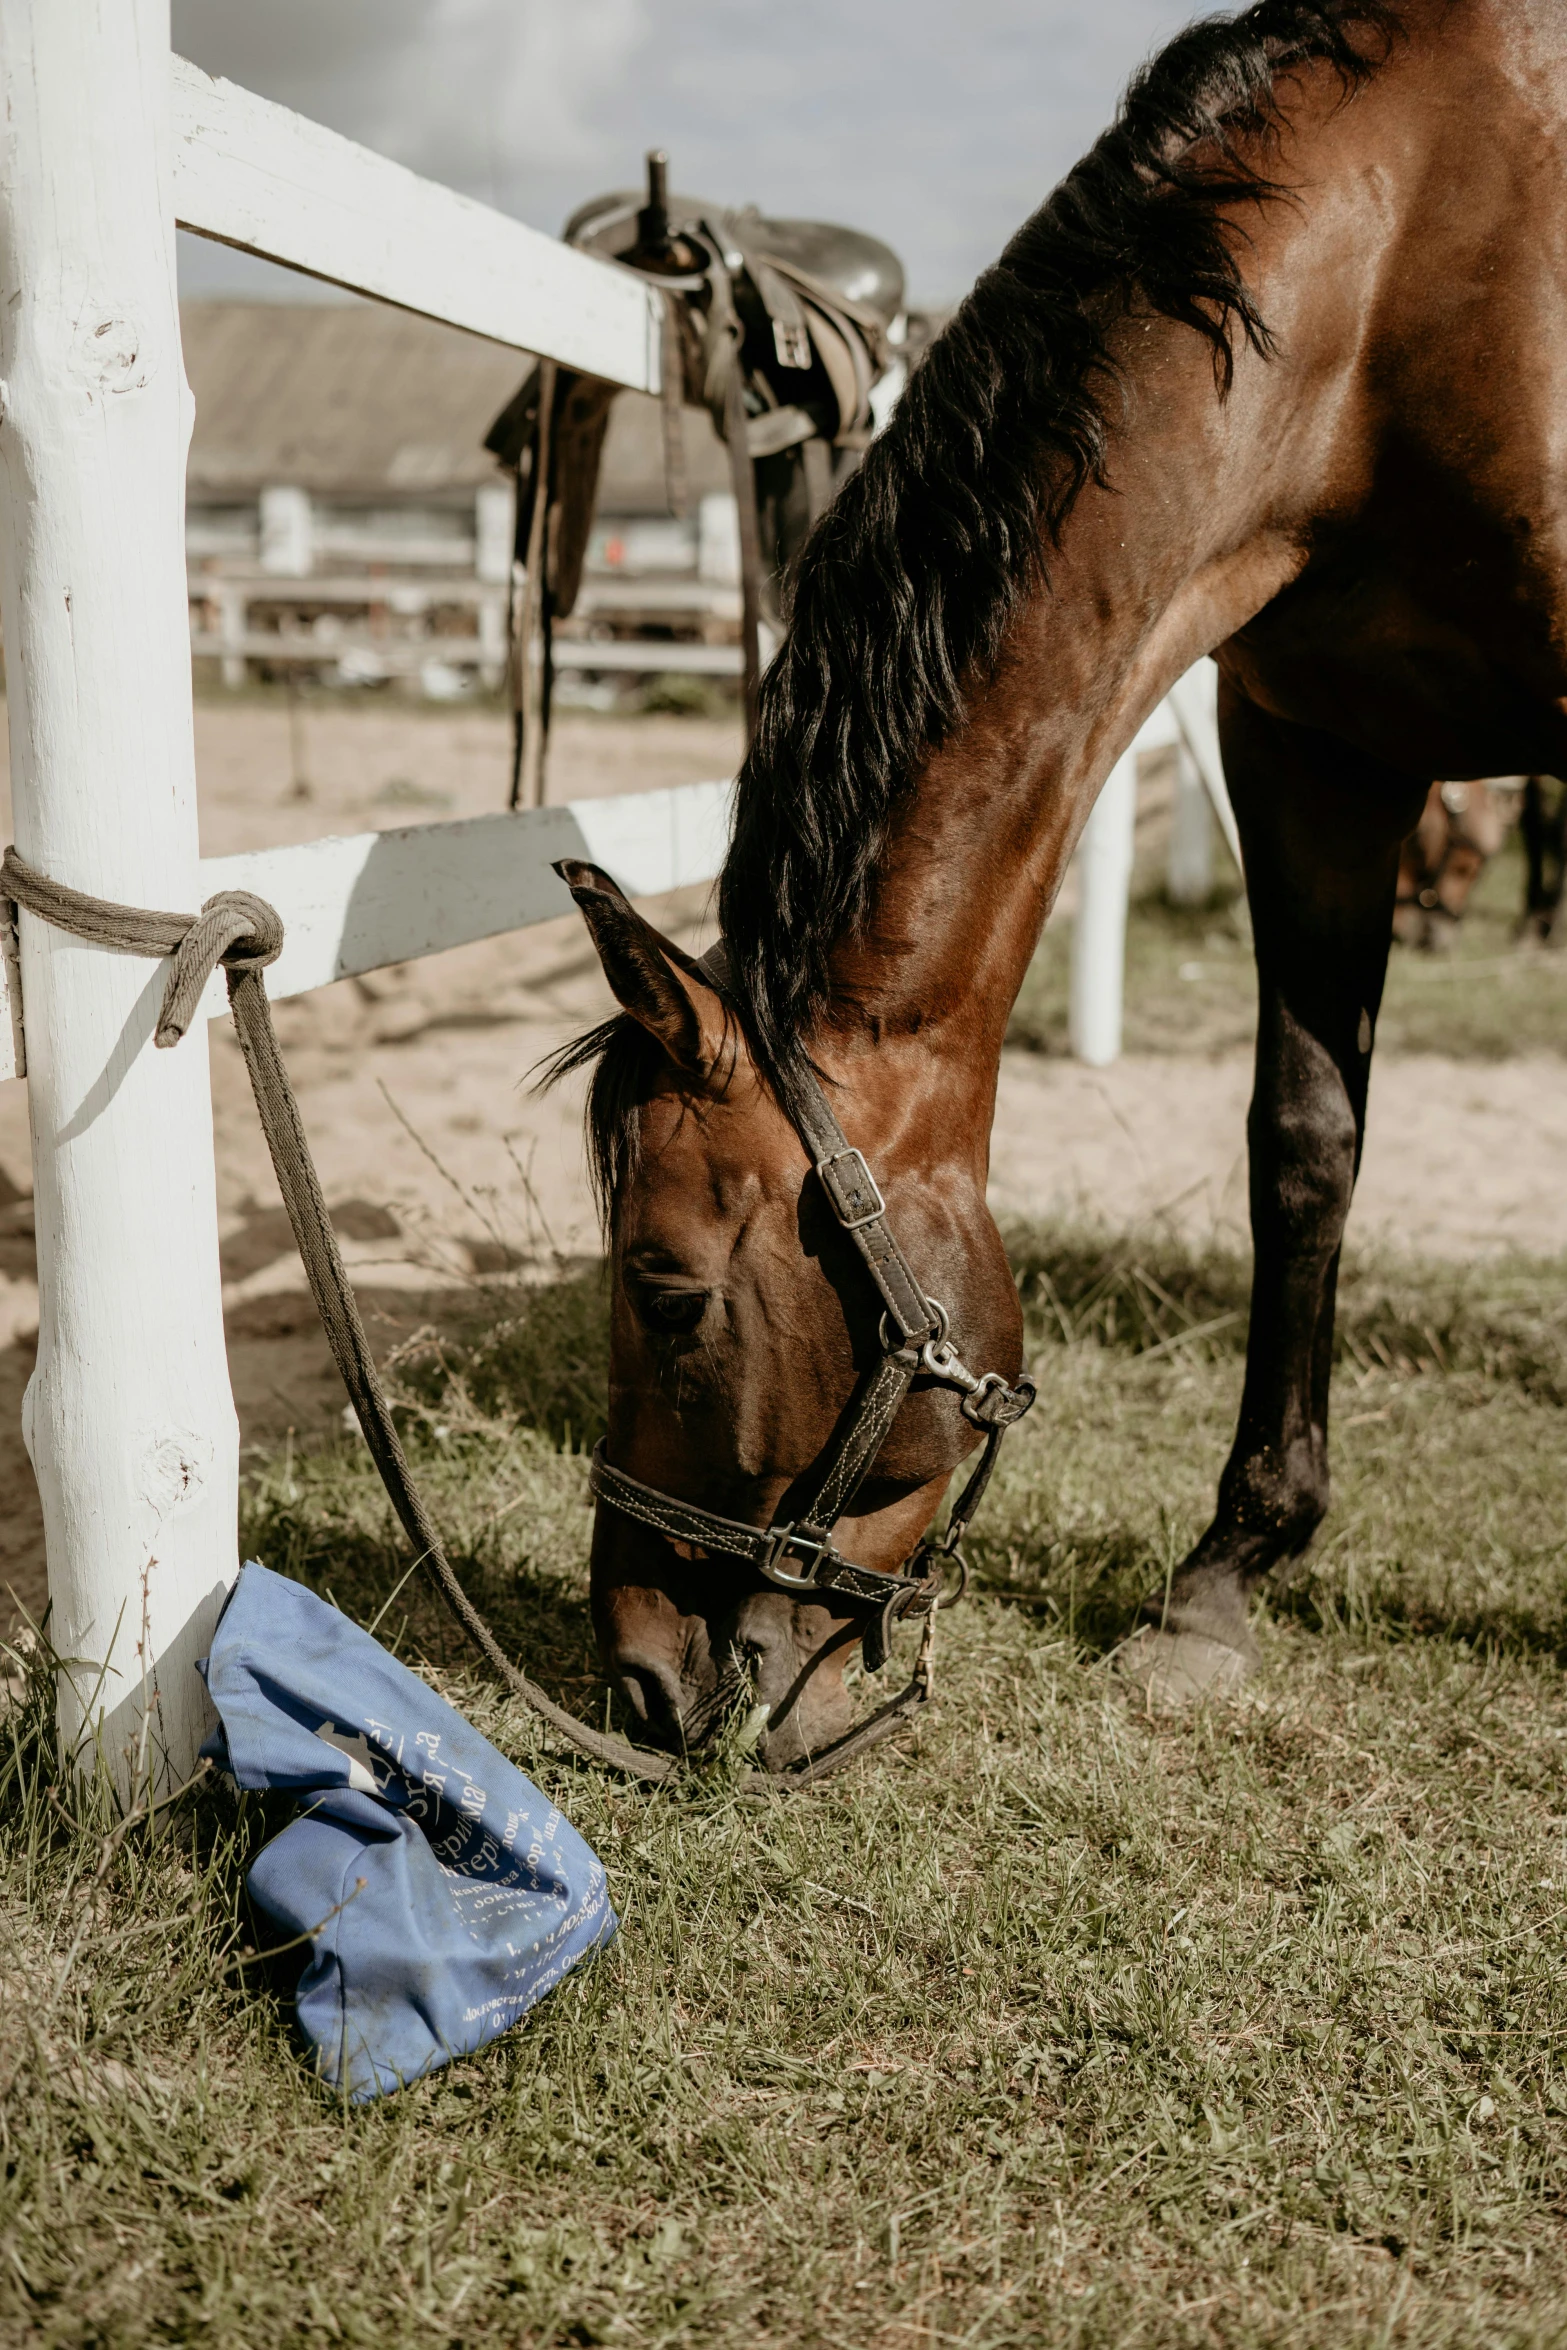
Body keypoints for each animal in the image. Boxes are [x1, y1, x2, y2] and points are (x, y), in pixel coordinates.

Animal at [549, 4, 1567, 1767]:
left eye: (665, 1295)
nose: (638, 1675)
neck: (1422, 252)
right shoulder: (1309, 748)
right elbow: (1302, 1146)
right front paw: (1225, 1571)